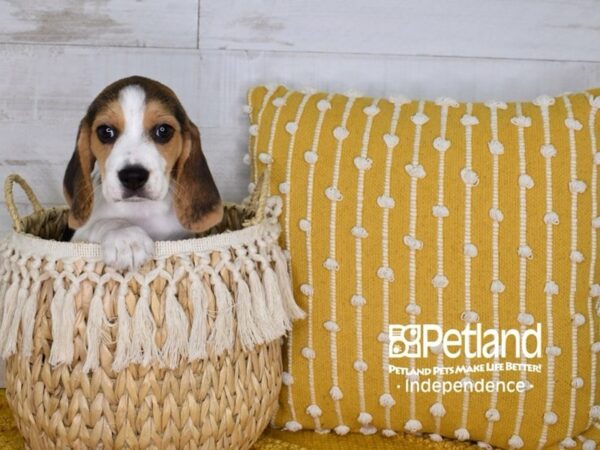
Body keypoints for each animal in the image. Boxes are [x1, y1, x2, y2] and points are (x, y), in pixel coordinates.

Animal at [63, 75, 223, 268]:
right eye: (105, 131)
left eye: (163, 130)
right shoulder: (79, 237)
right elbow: (106, 222)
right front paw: (127, 238)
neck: (141, 209)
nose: (133, 177)